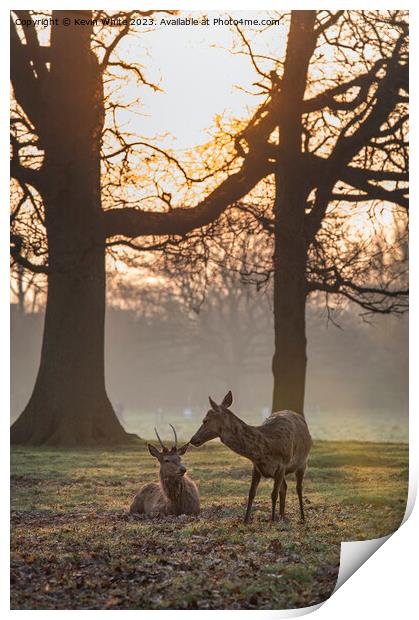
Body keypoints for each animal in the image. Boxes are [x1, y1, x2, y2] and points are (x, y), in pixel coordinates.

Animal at [190, 392, 312, 524]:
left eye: (205, 420)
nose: (192, 439)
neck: (264, 451)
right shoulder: (256, 467)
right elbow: (251, 493)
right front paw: (246, 520)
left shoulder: (282, 465)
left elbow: (273, 494)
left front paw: (272, 520)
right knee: (284, 487)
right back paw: (282, 516)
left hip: (303, 462)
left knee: (298, 488)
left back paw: (302, 517)